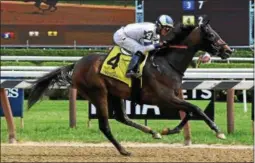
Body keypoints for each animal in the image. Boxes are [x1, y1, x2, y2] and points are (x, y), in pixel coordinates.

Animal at [27, 21, 233, 155]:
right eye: (212, 35)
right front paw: (218, 131)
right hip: (97, 93)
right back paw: (124, 150)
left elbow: (190, 111)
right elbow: (196, 108)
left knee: (122, 117)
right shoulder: (164, 98)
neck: (166, 63)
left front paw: (168, 130)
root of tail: (76, 64)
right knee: (105, 125)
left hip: (114, 93)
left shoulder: (175, 96)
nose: (229, 50)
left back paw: (153, 133)